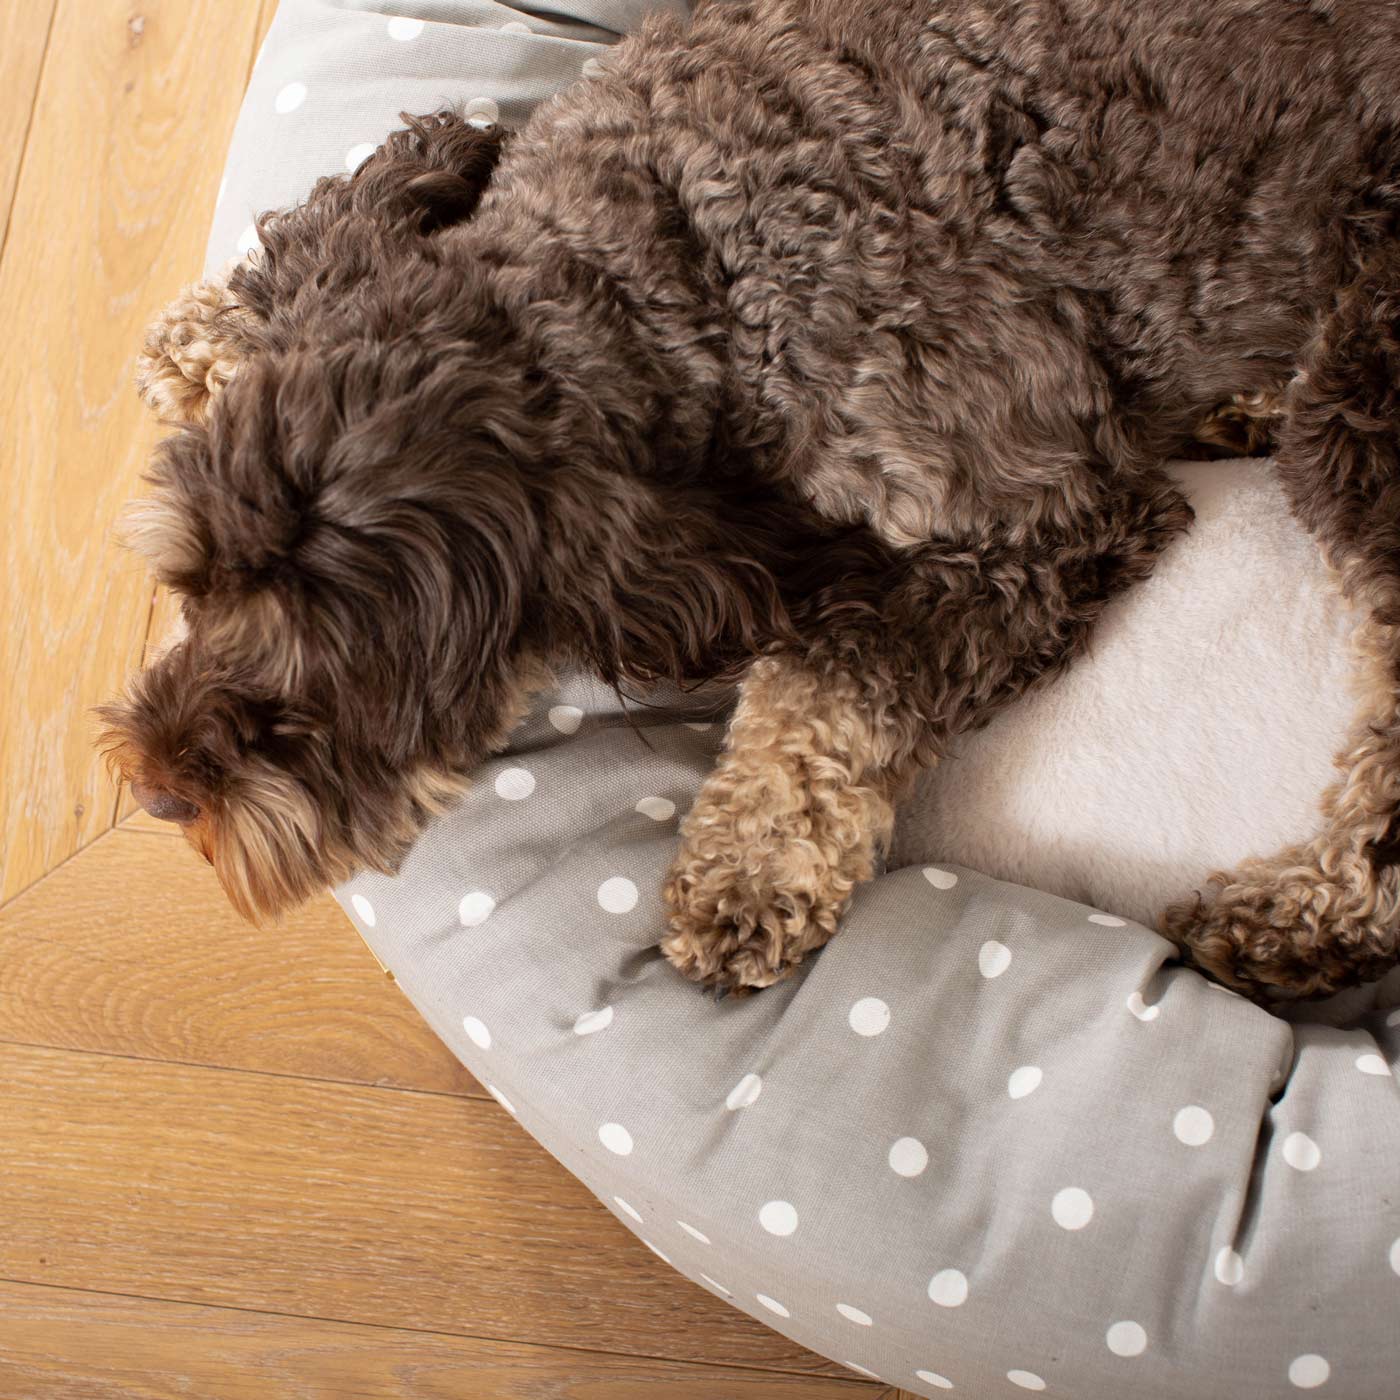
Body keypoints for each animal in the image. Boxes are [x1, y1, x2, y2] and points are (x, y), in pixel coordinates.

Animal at [103, 2, 1400, 1008]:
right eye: (192, 585)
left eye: (342, 683)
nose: (159, 789)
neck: (661, 264)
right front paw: (200, 334)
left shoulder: (1035, 526)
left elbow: (824, 688)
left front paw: (750, 868)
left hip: (1363, 384)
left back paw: (1303, 914)